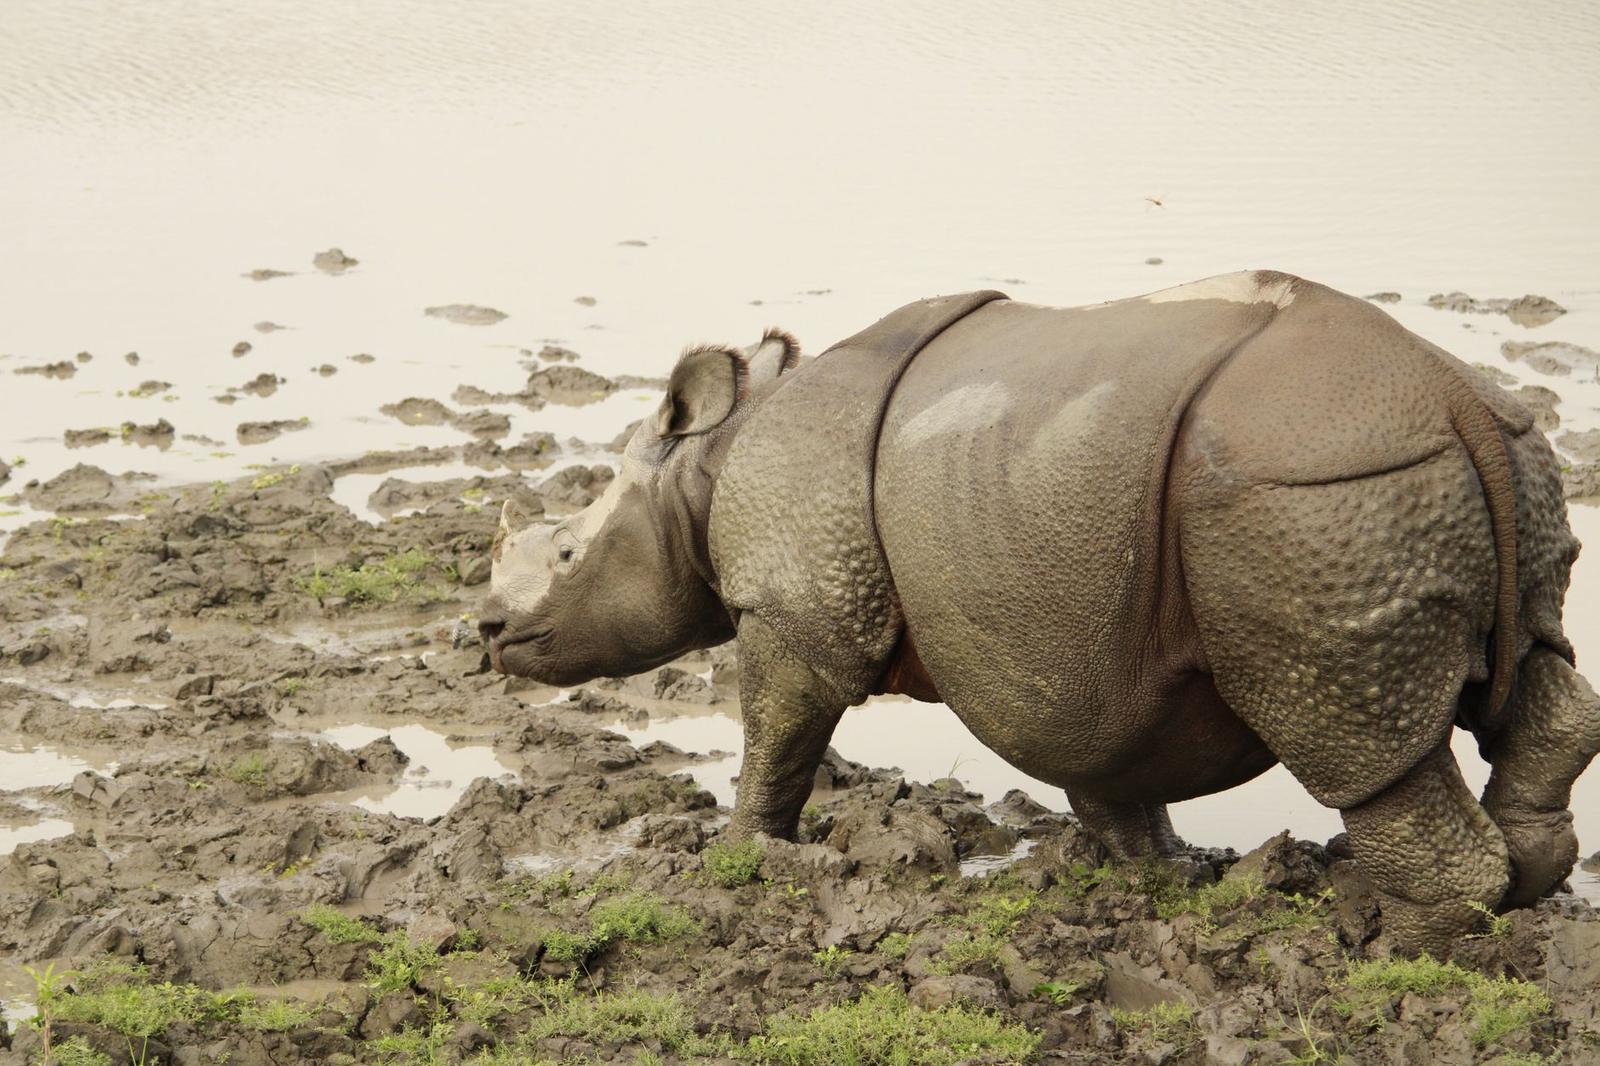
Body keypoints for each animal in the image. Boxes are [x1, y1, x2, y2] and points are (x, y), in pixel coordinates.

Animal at [479, 271, 1600, 955]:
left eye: (567, 554)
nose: (486, 635)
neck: (710, 467)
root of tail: (1452, 398)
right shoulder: (1068, 631)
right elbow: (1101, 755)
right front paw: (1148, 873)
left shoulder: (796, 607)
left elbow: (778, 729)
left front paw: (743, 856)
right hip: (1477, 462)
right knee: (1536, 676)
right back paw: (1521, 889)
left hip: (1314, 498)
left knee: (1350, 732)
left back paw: (1385, 946)